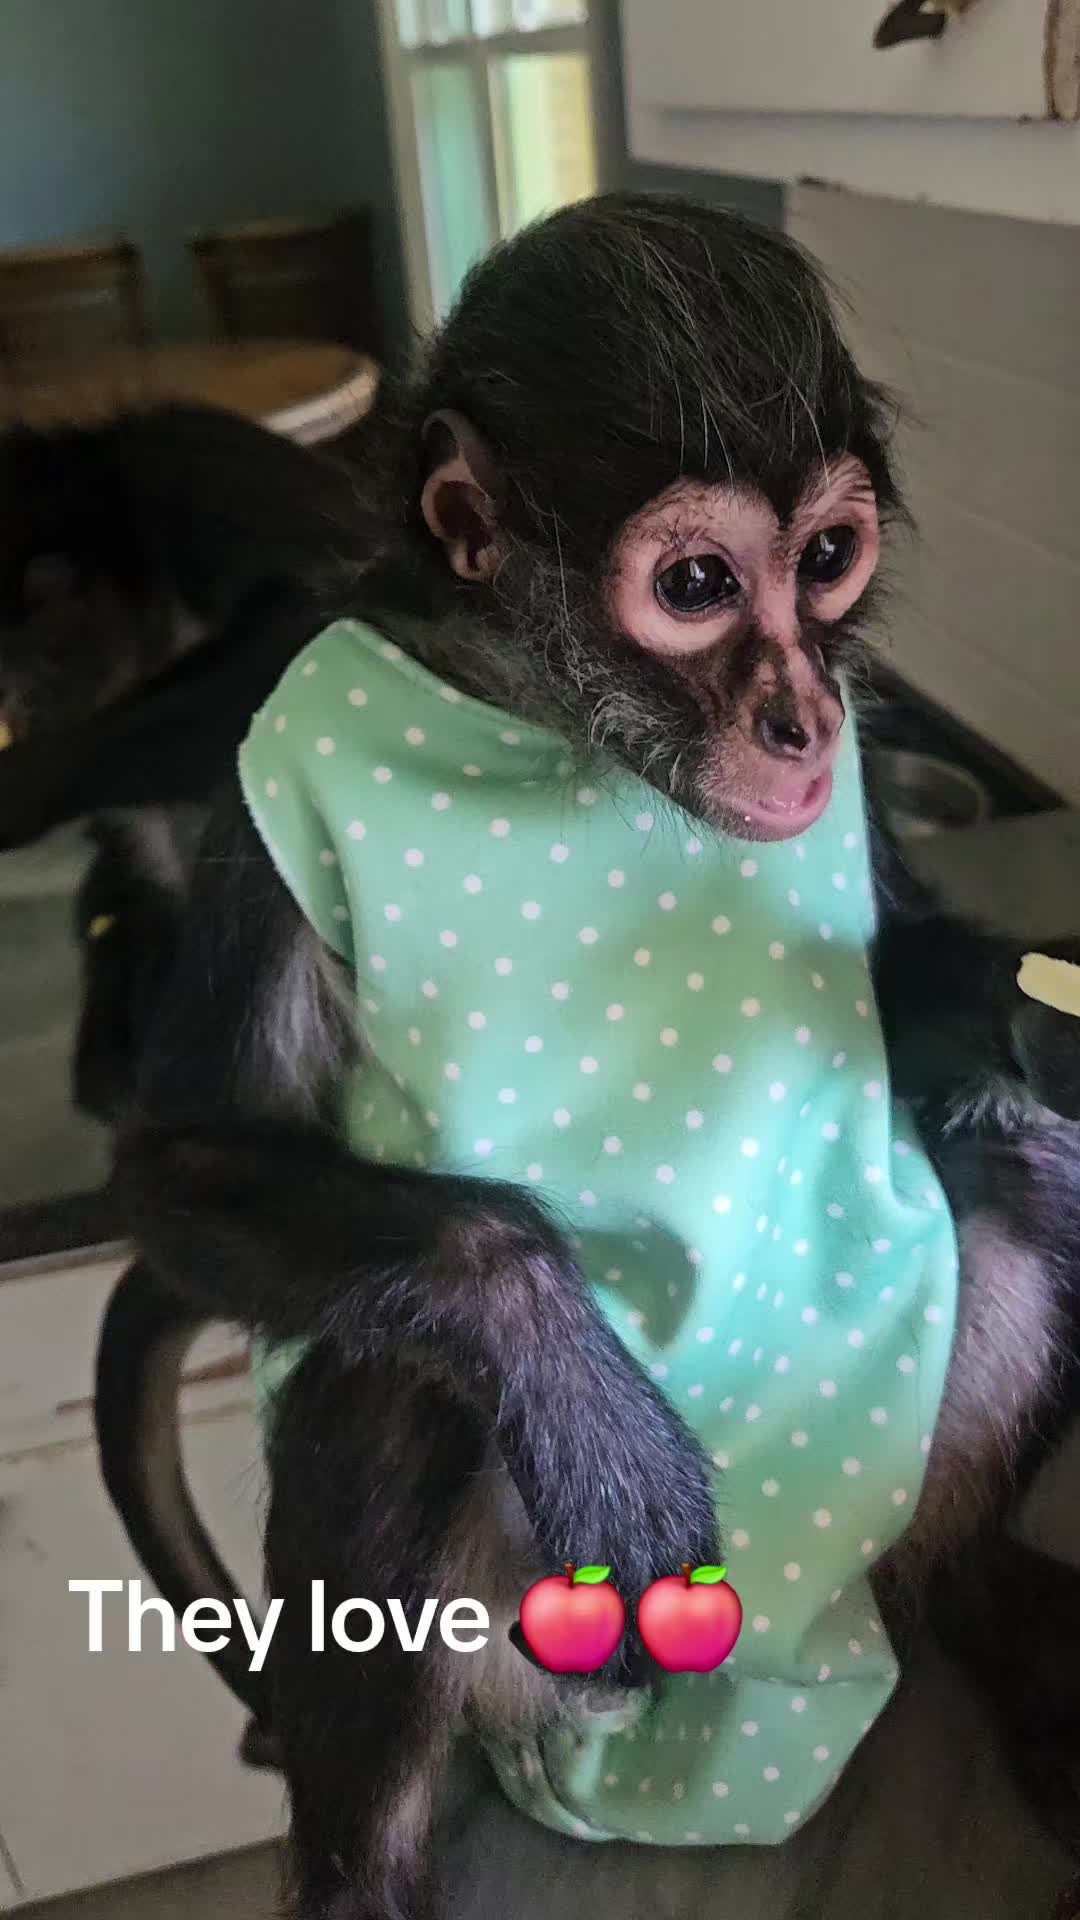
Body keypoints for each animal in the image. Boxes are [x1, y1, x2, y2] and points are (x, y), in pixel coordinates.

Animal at [95, 195, 1080, 1919]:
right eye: (695, 581)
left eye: (827, 561)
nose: (807, 720)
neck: (559, 734)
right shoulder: (262, 775)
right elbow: (177, 1168)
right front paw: (561, 1364)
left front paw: (1034, 1012)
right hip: (527, 1645)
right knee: (396, 1379)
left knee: (1024, 1160)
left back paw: (972, 1598)